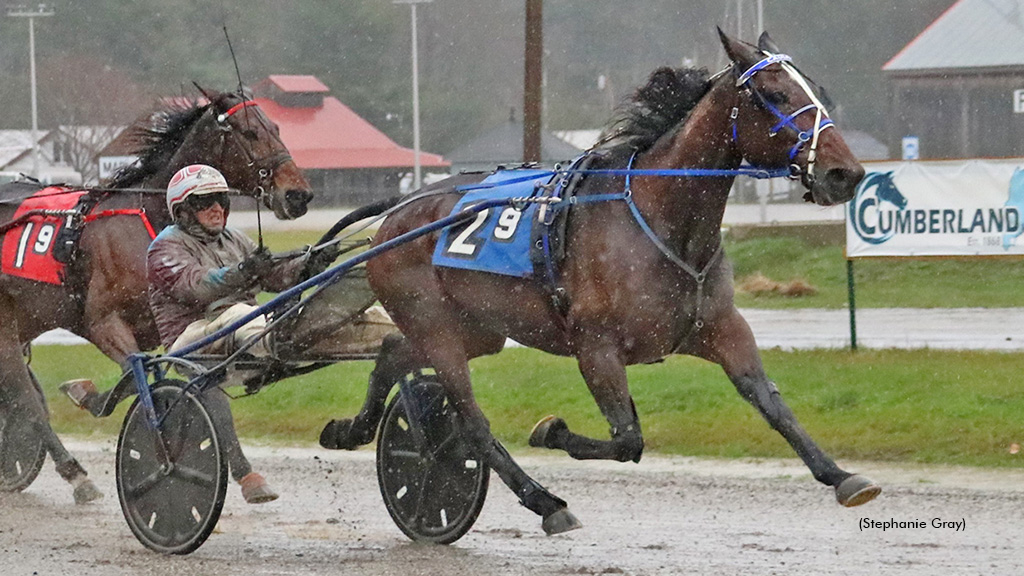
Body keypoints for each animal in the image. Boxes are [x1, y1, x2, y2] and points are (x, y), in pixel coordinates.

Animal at [0, 87, 311, 500]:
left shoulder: (181, 331)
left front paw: (247, 475)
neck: (152, 219)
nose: (299, 195)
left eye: (276, 127)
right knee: (23, 395)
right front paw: (92, 397)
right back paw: (75, 473)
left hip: (27, 318)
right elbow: (137, 381)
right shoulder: (105, 324)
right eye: (249, 133)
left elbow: (202, 391)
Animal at [321, 30, 880, 532]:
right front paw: (552, 431)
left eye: (817, 90)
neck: (660, 220)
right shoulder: (596, 346)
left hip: (476, 328)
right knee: (472, 421)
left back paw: (351, 428)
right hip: (435, 323)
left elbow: (772, 404)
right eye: (775, 95)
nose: (845, 173)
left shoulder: (722, 328)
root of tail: (399, 209)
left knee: (394, 351)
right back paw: (544, 502)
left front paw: (842, 476)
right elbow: (627, 439)